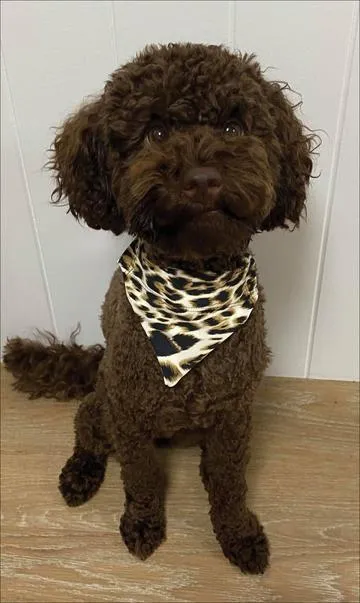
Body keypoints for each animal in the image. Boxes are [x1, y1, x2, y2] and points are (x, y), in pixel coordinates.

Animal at [4, 43, 316, 576]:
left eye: (233, 128)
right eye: (156, 132)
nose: (202, 178)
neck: (194, 287)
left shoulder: (233, 416)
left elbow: (229, 482)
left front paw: (237, 534)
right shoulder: (130, 415)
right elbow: (142, 477)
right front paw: (143, 525)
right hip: (104, 400)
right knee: (86, 428)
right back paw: (79, 473)